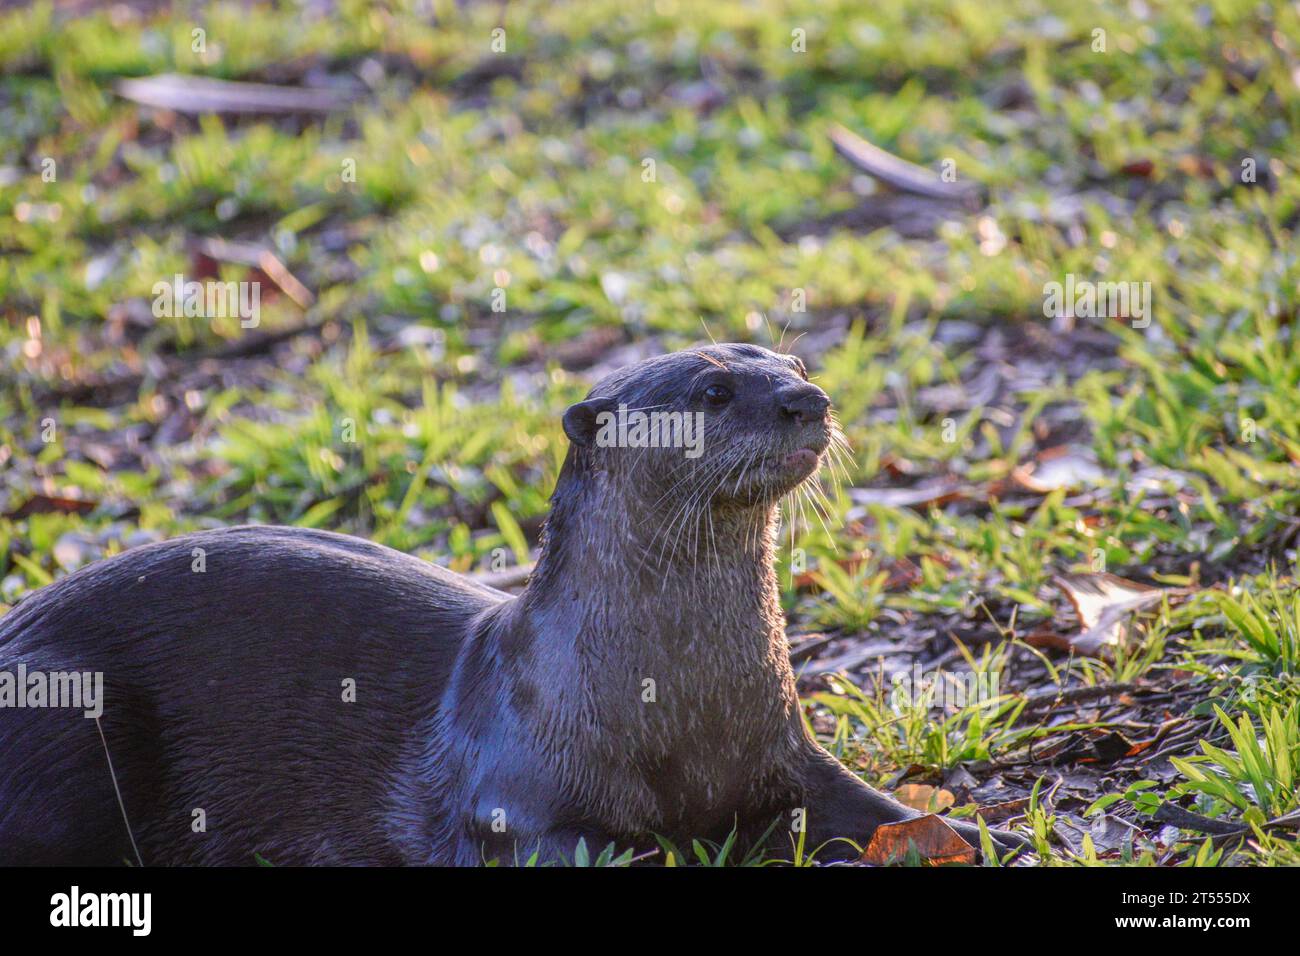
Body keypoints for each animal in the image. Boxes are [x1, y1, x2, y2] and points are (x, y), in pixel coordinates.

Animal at [0, 345, 1024, 868]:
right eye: (715, 390)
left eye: (794, 356)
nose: (809, 398)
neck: (669, 704)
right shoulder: (506, 798)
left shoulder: (779, 746)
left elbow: (864, 804)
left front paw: (975, 832)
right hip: (63, 712)